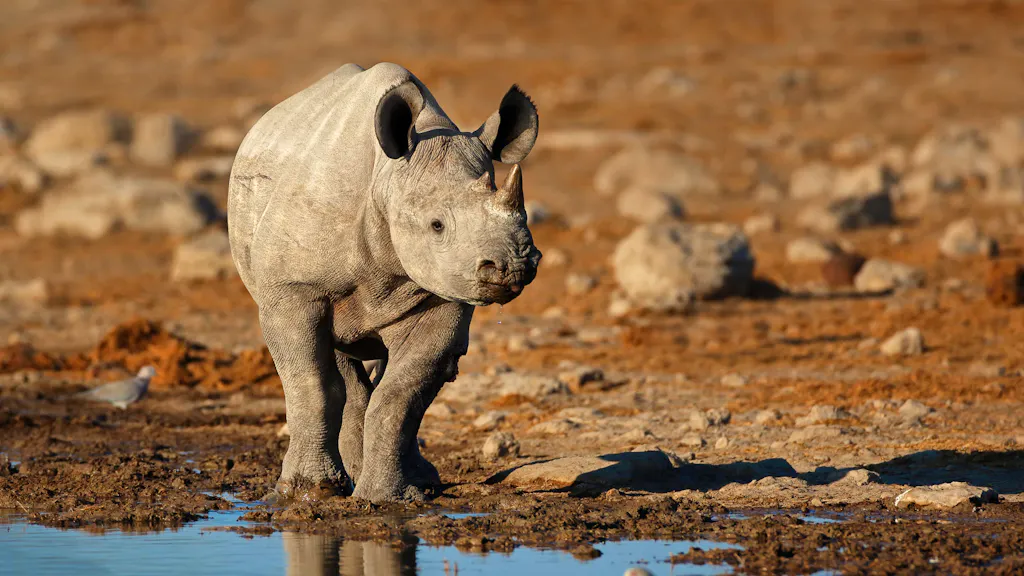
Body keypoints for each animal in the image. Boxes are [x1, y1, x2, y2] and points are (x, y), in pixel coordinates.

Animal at [227, 62, 542, 502]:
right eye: (437, 225)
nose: (513, 267)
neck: (387, 179)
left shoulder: (443, 295)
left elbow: (402, 395)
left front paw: (387, 499)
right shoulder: (293, 290)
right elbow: (311, 385)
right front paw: (305, 490)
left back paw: (419, 481)